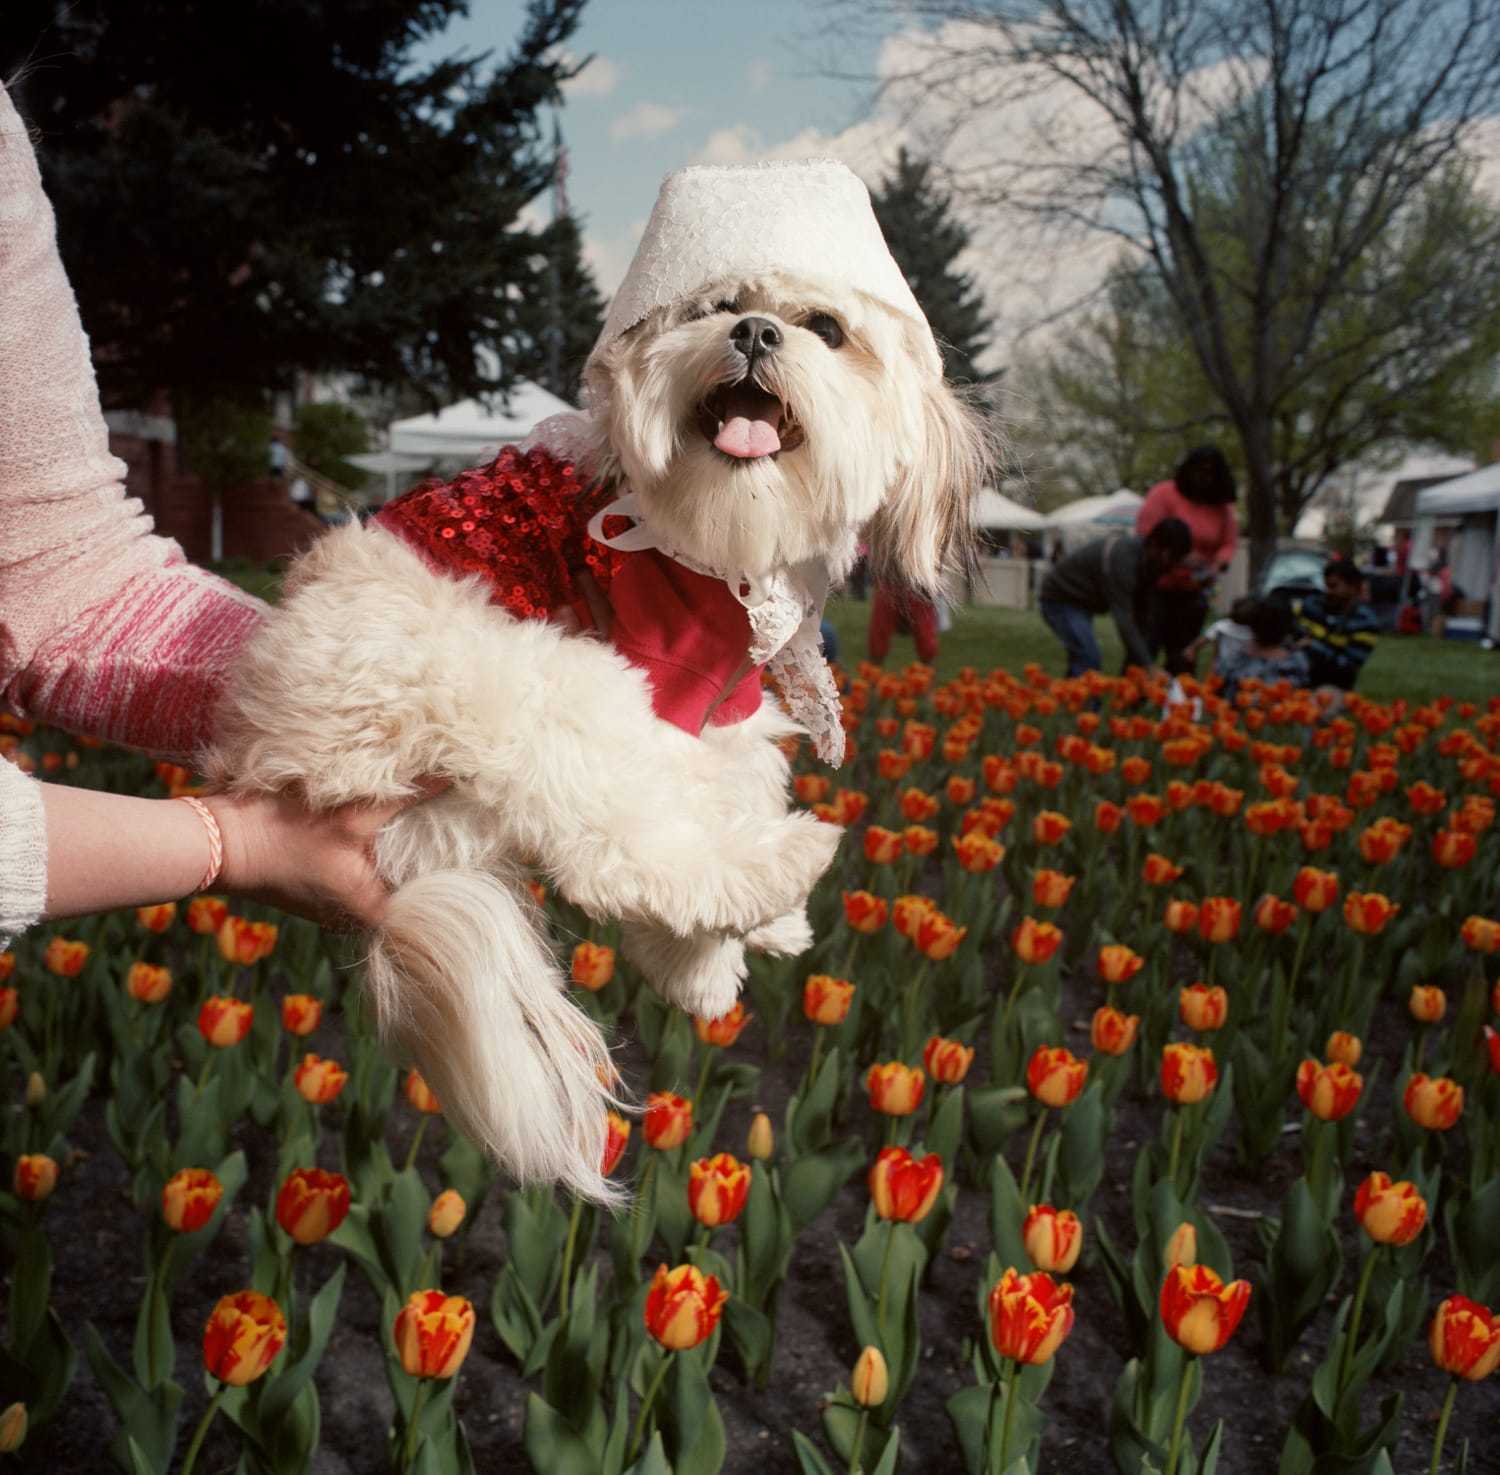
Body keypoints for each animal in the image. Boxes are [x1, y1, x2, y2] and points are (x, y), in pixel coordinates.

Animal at [202, 158, 996, 1200]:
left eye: (827, 327)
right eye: (714, 306)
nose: (753, 331)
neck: (720, 537)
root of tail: (274, 756)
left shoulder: (729, 700)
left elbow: (737, 775)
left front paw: (720, 962)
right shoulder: (661, 674)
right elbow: (667, 823)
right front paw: (729, 944)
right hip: (538, 678)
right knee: (620, 847)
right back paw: (785, 866)